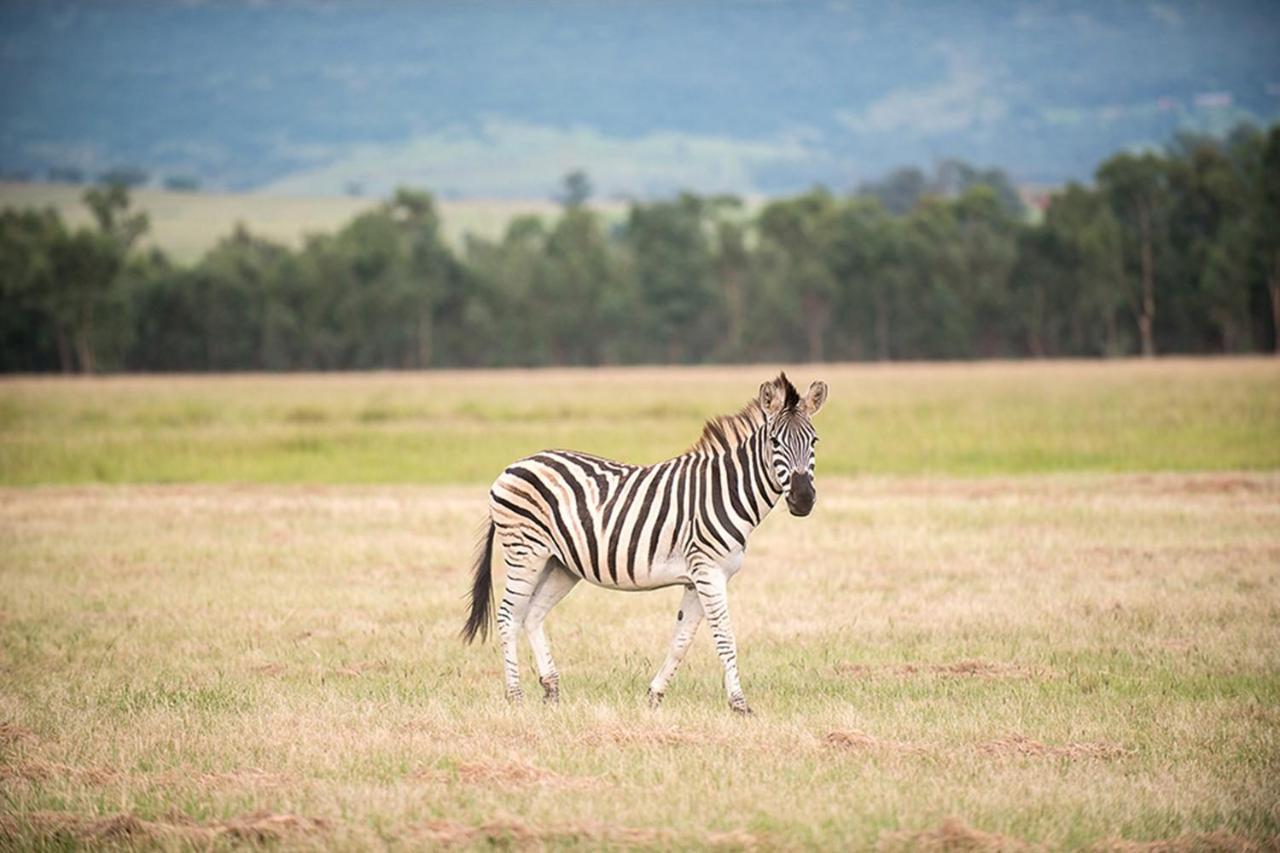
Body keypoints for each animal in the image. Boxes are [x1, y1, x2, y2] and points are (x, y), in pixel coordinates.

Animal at [460, 371, 829, 712]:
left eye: (814, 442)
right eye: (775, 442)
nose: (802, 500)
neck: (725, 490)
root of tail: (514, 465)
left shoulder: (697, 578)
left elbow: (681, 639)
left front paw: (654, 696)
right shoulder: (709, 572)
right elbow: (725, 637)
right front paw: (739, 704)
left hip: (561, 564)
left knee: (532, 615)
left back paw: (551, 690)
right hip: (526, 551)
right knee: (509, 616)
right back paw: (515, 696)